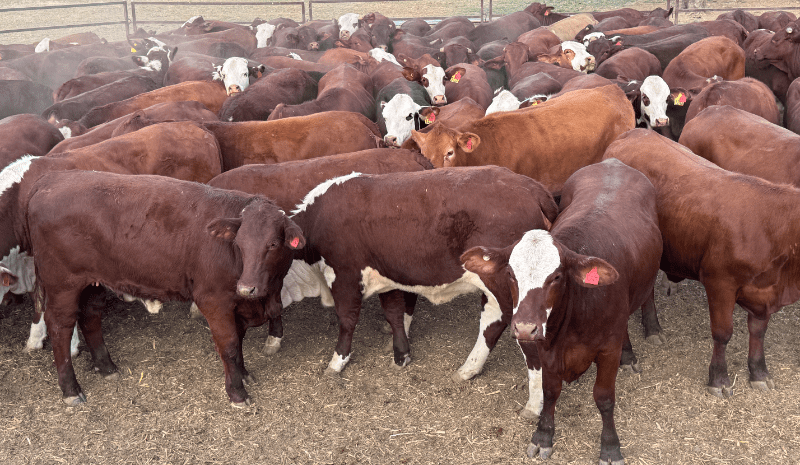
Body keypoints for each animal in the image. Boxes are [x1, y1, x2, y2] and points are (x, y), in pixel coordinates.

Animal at [4, 170, 303, 406]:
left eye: (272, 244)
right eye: (239, 244)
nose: (246, 288)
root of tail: (52, 178)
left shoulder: (238, 304)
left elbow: (238, 341)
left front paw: (244, 375)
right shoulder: (214, 300)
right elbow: (229, 345)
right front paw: (237, 392)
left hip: (94, 280)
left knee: (90, 316)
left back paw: (107, 366)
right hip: (62, 283)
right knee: (60, 326)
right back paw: (71, 389)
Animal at [283, 167, 557, 380]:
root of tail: (532, 187)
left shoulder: (344, 276)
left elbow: (347, 320)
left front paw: (337, 361)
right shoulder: (387, 272)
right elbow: (394, 312)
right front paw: (401, 352)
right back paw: (469, 368)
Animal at [462, 158, 661, 464]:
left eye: (556, 276)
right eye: (510, 273)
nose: (524, 327)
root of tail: (612, 162)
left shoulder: (608, 348)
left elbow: (604, 397)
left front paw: (611, 446)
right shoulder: (547, 347)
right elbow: (549, 390)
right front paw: (543, 435)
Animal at [604, 128, 800, 398]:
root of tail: (634, 132)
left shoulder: (764, 293)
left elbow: (758, 331)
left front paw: (759, 373)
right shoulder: (720, 283)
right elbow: (722, 334)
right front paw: (718, 379)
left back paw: (652, 328)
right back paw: (627, 356)